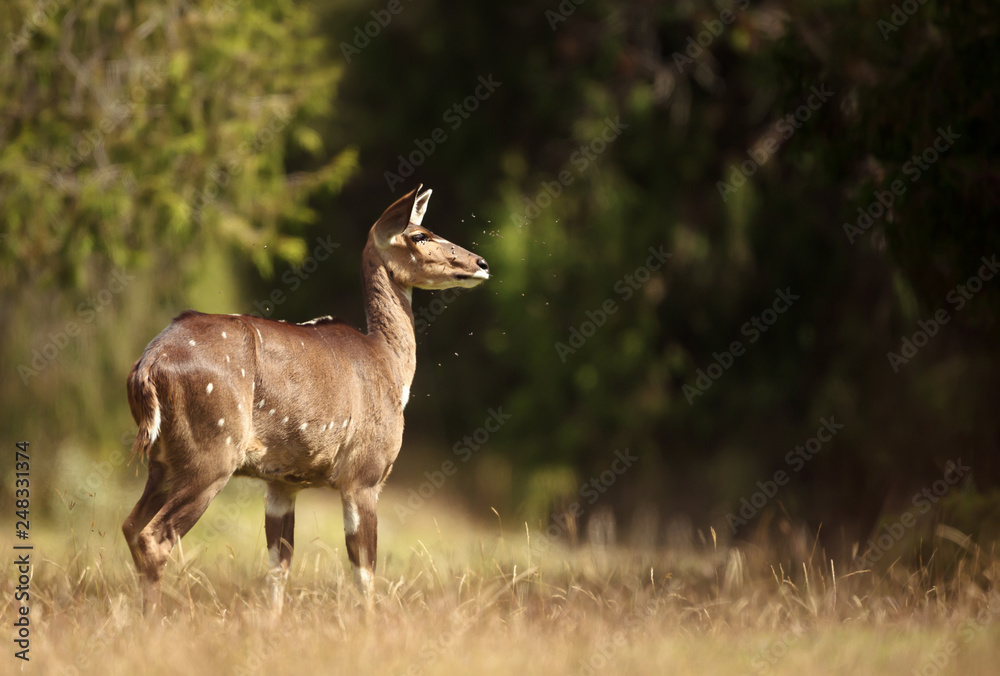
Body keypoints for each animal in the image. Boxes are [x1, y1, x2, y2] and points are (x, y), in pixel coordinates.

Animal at [121, 186, 488, 612]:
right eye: (420, 235)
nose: (481, 263)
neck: (390, 368)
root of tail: (147, 366)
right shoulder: (363, 475)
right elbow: (364, 572)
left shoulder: (282, 483)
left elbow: (279, 565)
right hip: (212, 452)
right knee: (155, 536)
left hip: (163, 461)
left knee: (131, 525)